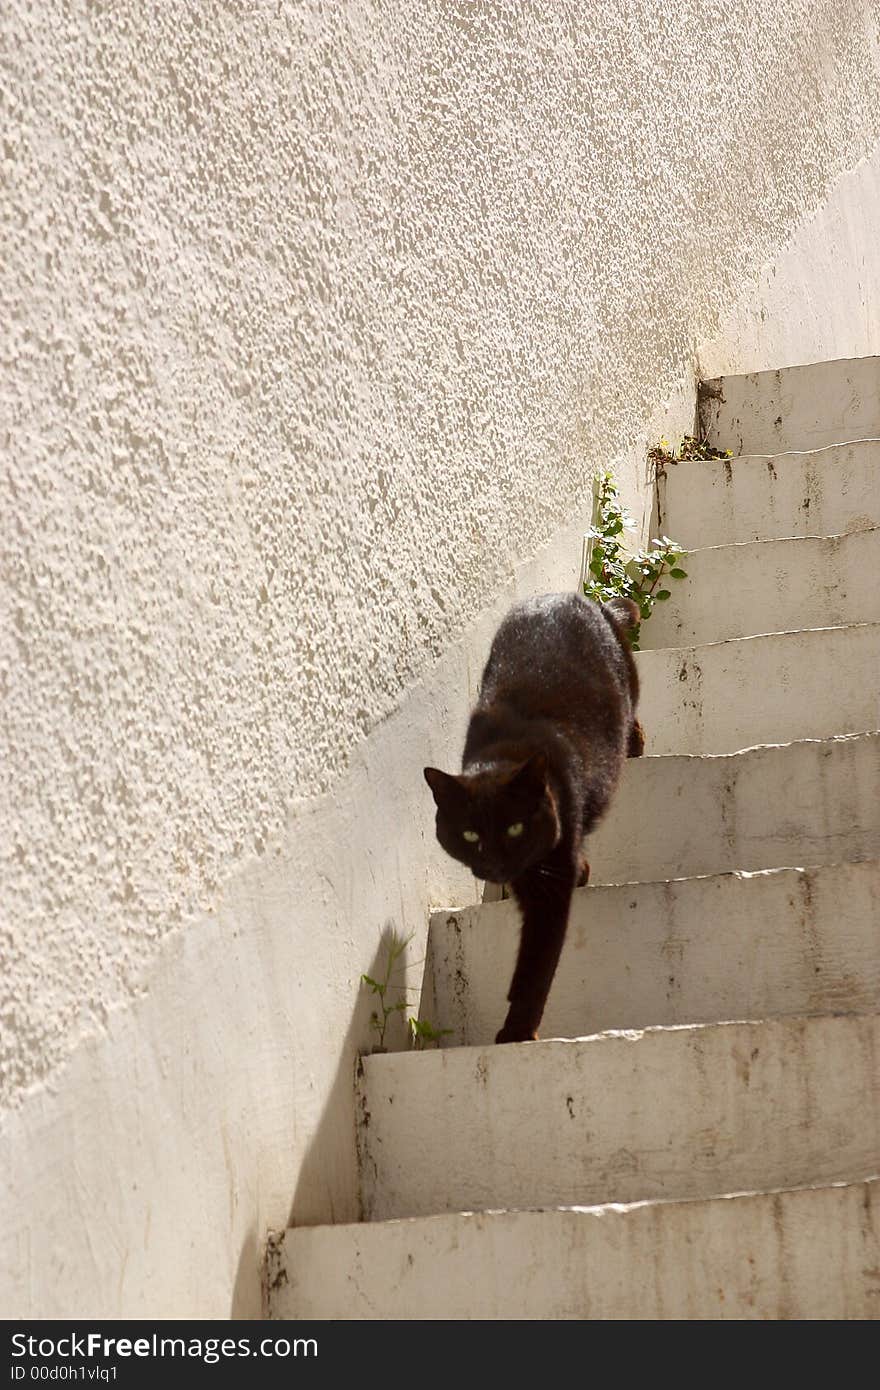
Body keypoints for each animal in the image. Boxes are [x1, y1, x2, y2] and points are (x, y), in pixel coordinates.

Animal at [422, 594, 642, 1045]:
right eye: (469, 835)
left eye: (515, 827)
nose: (494, 865)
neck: (506, 752)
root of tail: (574, 596)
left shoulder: (549, 884)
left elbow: (535, 967)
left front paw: (517, 1031)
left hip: (627, 678)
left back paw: (637, 743)